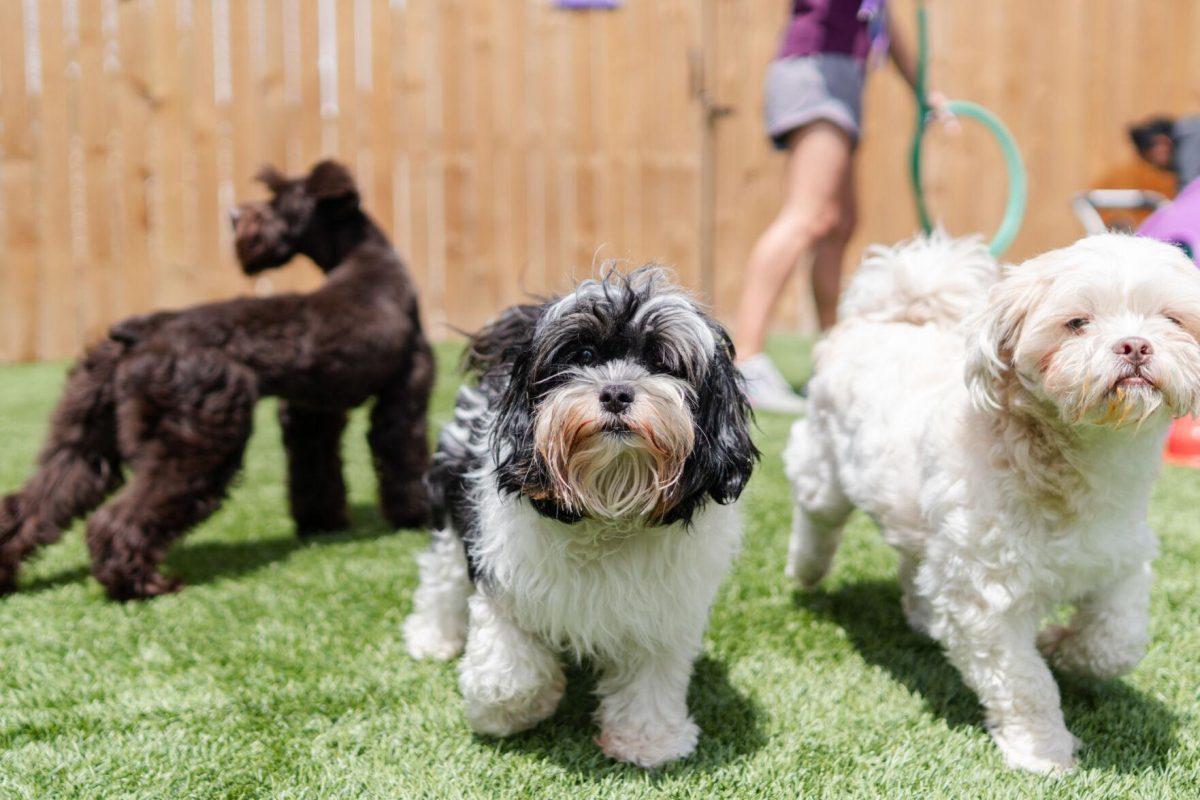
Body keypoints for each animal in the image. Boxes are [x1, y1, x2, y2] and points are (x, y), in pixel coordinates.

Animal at [0, 159, 432, 597]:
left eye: (280, 202)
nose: (235, 216)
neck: (365, 259)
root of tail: (139, 330)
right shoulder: (404, 395)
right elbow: (403, 455)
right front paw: (416, 516)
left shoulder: (311, 410)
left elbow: (315, 468)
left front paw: (323, 524)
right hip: (200, 440)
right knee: (119, 518)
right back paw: (144, 585)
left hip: (85, 439)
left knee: (34, 500)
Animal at [782, 235, 1200, 772]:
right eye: (1077, 322)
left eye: (1171, 319)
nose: (1134, 344)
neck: (1080, 468)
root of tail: (893, 314)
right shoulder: (984, 600)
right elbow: (1025, 684)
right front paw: (1044, 753)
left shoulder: (1119, 560)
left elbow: (1115, 644)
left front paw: (1060, 645)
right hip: (825, 470)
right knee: (816, 513)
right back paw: (806, 568)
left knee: (916, 561)